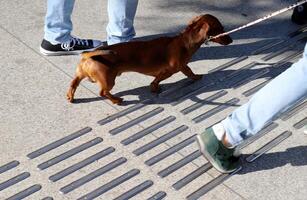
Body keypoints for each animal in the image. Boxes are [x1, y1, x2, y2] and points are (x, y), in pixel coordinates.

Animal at [67, 14, 233, 104]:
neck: (184, 41)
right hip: (108, 80)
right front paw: (154, 88)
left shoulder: (183, 66)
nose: (231, 40)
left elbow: (189, 72)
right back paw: (116, 100)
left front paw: (195, 77)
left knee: (74, 83)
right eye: (220, 28)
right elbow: (159, 80)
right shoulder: (170, 70)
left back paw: (70, 96)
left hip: (81, 74)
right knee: (103, 92)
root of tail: (91, 54)